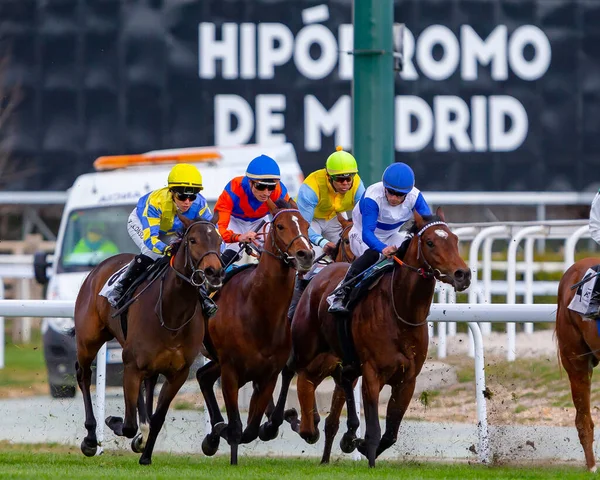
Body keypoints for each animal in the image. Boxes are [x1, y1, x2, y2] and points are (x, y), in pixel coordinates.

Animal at [74, 218, 224, 464]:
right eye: (193, 240)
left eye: (219, 241)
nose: (215, 272)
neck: (173, 313)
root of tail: (98, 268)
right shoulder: (131, 366)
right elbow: (128, 425)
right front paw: (115, 424)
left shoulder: (177, 373)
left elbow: (157, 417)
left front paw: (145, 456)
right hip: (88, 341)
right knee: (84, 375)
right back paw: (90, 438)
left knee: (147, 386)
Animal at [197, 199, 316, 464]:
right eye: (280, 226)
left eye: (306, 224)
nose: (305, 254)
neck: (257, 311)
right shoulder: (230, 371)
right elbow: (237, 426)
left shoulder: (268, 374)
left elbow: (251, 429)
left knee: (202, 376)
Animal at [272, 208, 468, 466]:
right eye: (430, 242)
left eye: (455, 240)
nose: (463, 274)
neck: (400, 312)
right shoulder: (372, 372)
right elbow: (374, 429)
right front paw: (367, 453)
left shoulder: (407, 379)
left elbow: (390, 433)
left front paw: (356, 443)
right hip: (306, 350)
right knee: (297, 376)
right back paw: (285, 422)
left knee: (333, 386)